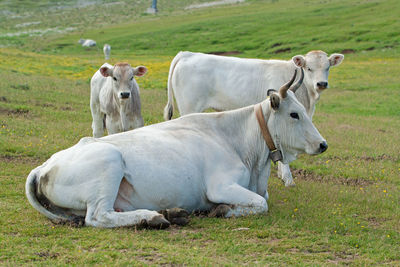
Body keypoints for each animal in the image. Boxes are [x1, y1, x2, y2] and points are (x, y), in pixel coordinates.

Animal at [25, 71, 328, 230]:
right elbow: (261, 203)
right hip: (108, 163)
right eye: (294, 114)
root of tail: (44, 166)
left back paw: (172, 213)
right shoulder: (221, 186)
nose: (323, 144)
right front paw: (223, 210)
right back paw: (152, 217)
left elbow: (263, 199)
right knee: (98, 216)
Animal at [163, 49, 344, 186]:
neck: (308, 99)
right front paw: (288, 179)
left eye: (327, 67)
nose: (321, 84)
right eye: (309, 68)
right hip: (189, 108)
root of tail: (187, 54)